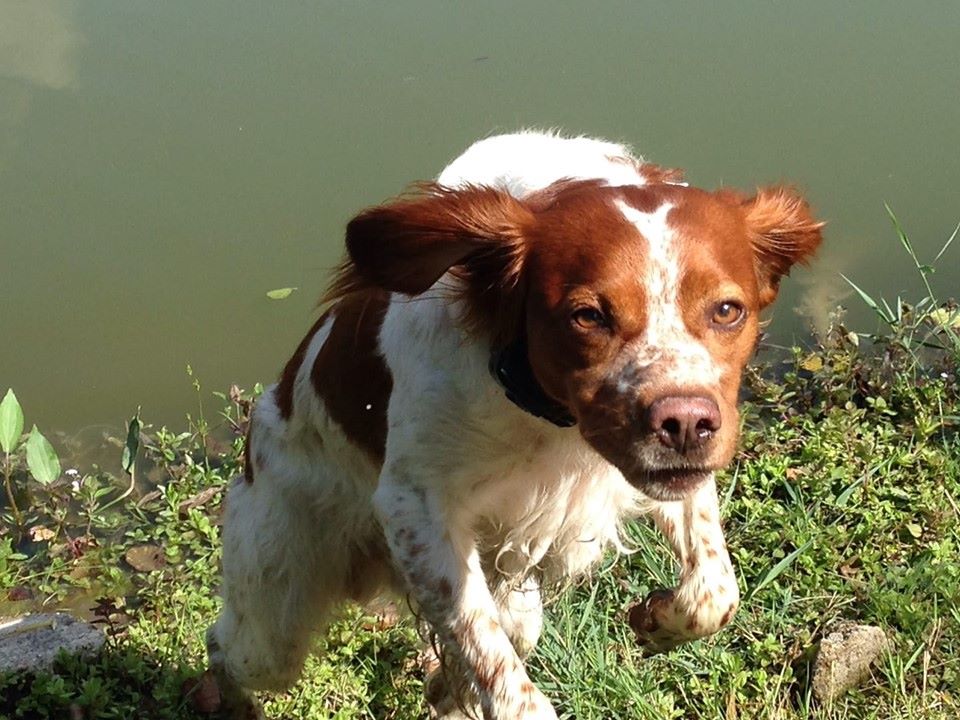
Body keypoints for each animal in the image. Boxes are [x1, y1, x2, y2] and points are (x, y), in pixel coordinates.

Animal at [206, 132, 820, 716]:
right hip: (277, 595)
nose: (686, 425)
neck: (544, 415)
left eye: (727, 311)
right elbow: (495, 664)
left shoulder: (666, 470)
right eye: (588, 316)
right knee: (228, 646)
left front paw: (656, 617)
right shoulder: (415, 507)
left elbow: (715, 591)